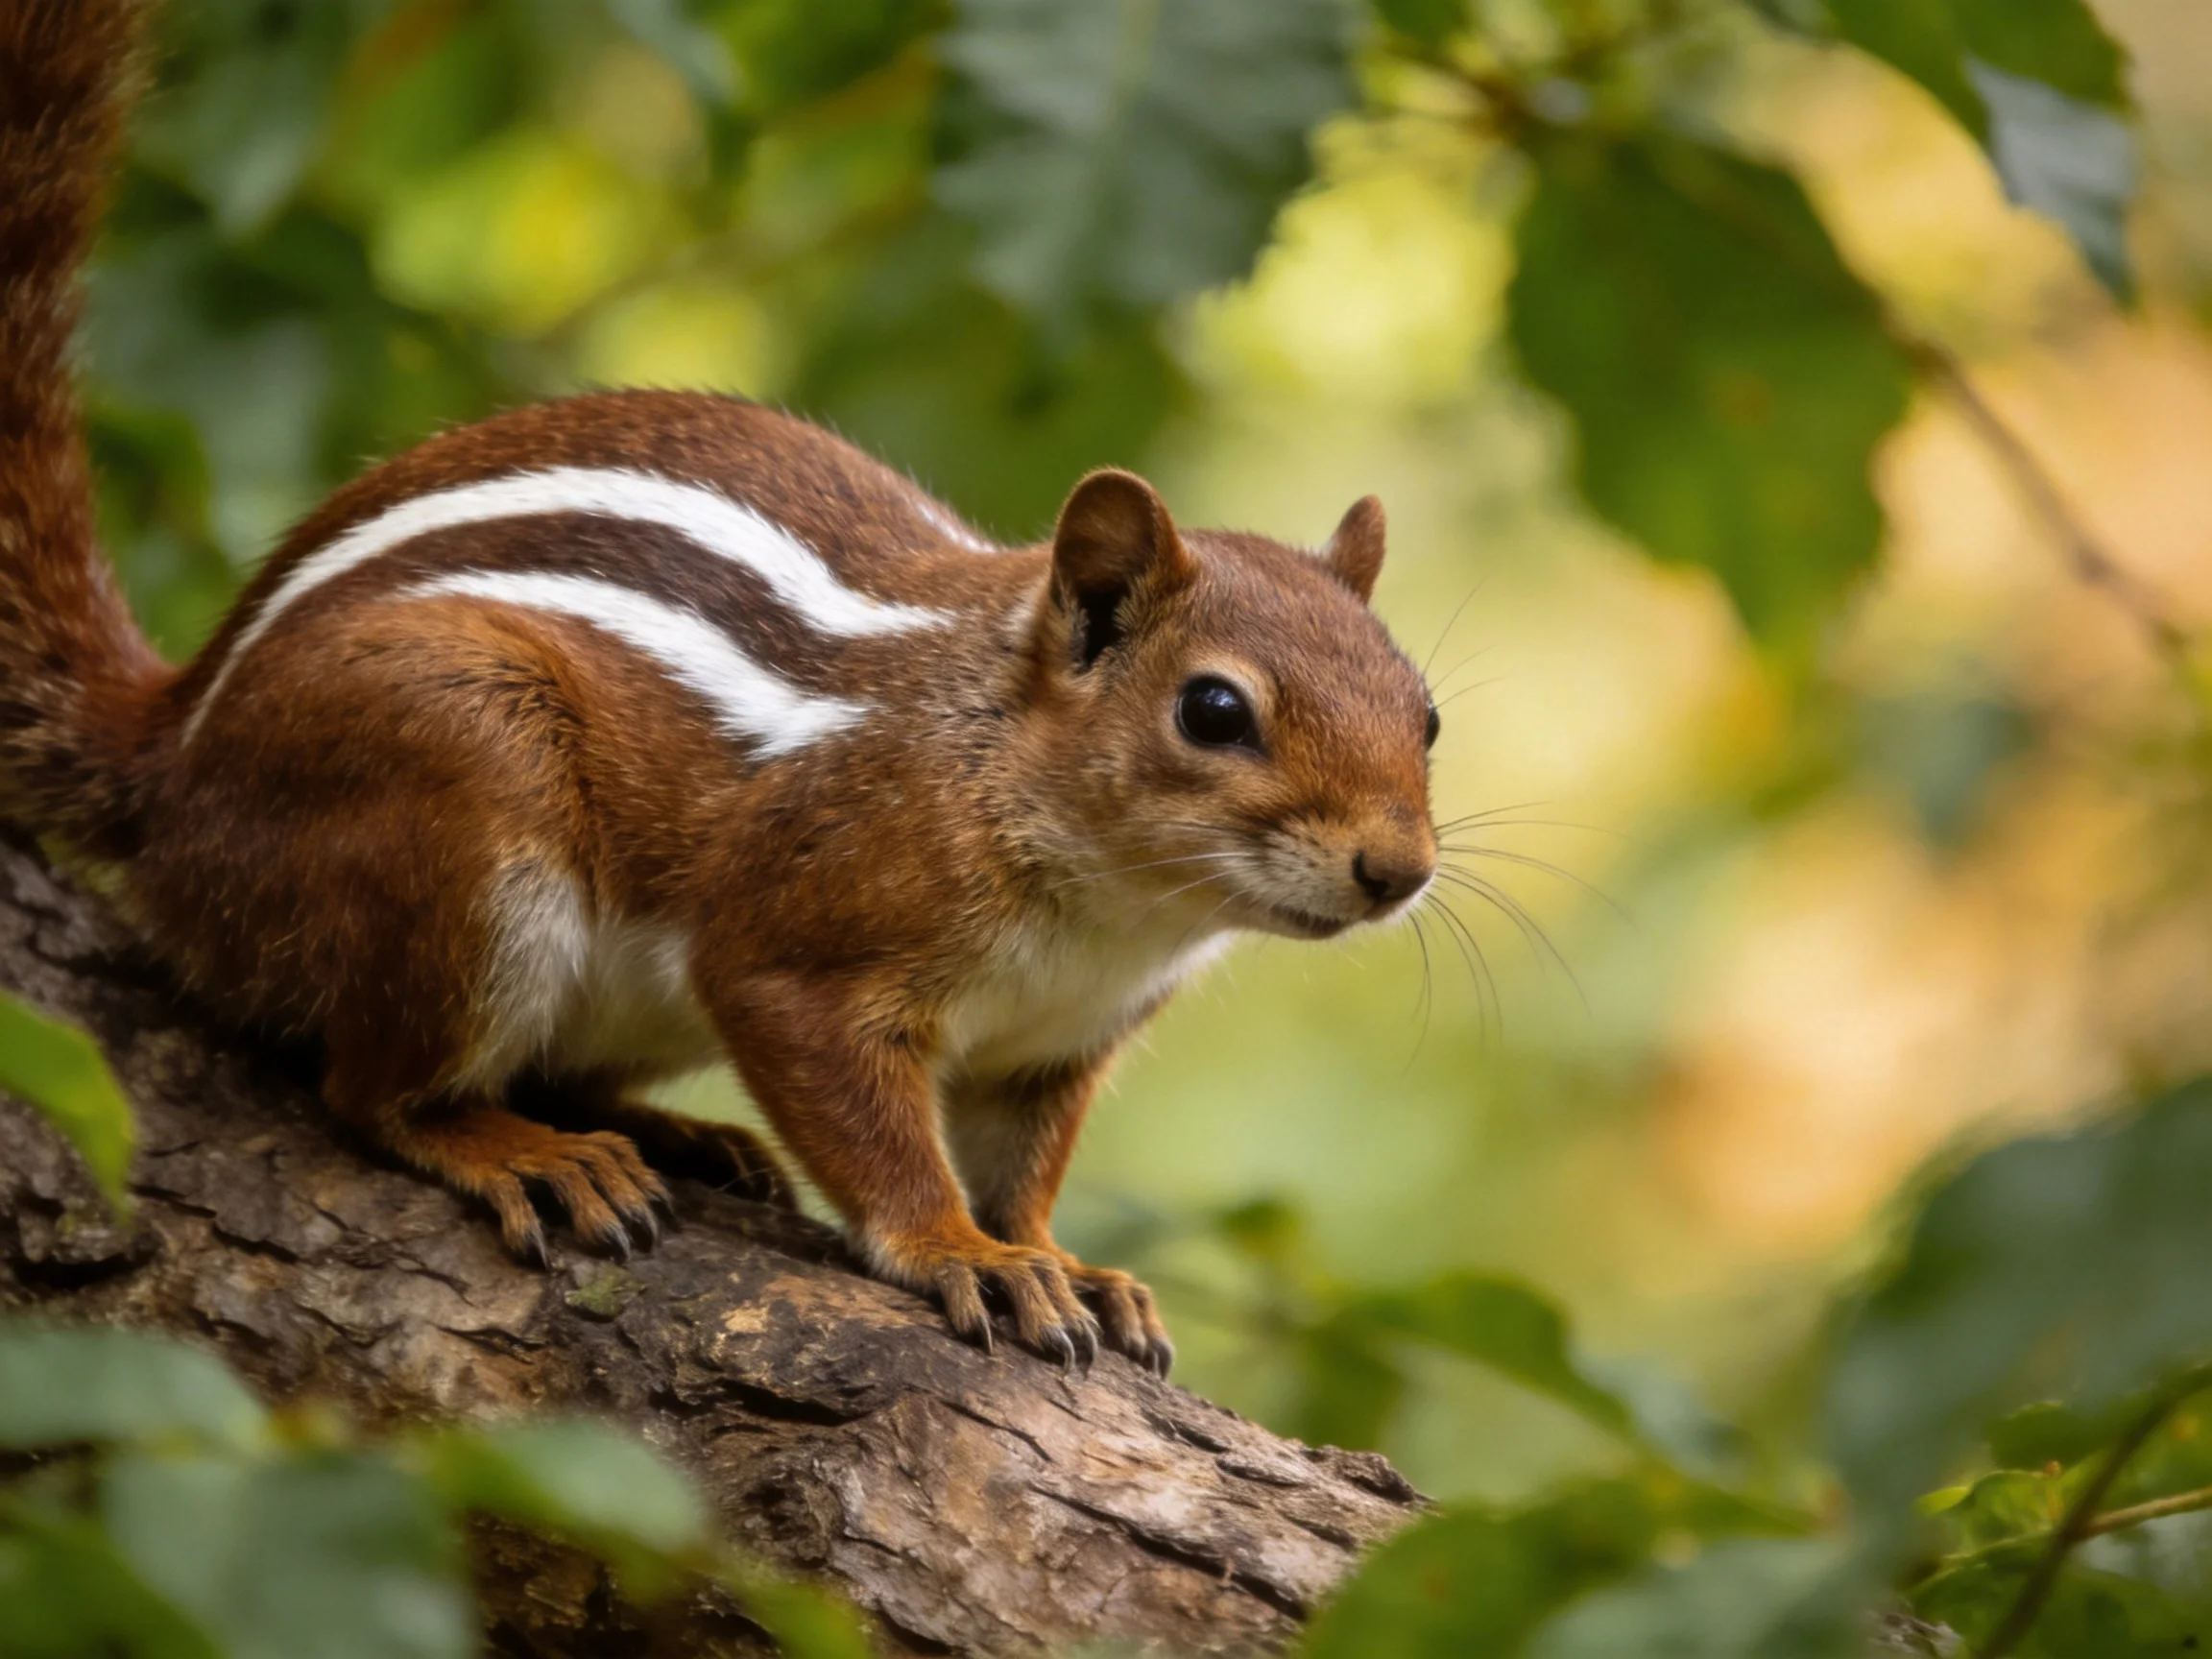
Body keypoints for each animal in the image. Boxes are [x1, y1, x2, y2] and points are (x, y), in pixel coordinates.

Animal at [0, 0, 1440, 1373]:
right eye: (1214, 711)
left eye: (1427, 713)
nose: (1399, 871)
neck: (1107, 901)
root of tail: (171, 768)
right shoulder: (802, 940)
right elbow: (864, 1120)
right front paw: (960, 1252)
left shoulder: (1054, 1049)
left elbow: (1025, 1168)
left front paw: (1057, 1258)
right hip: (456, 790)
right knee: (372, 1091)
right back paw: (521, 1149)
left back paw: (671, 1134)